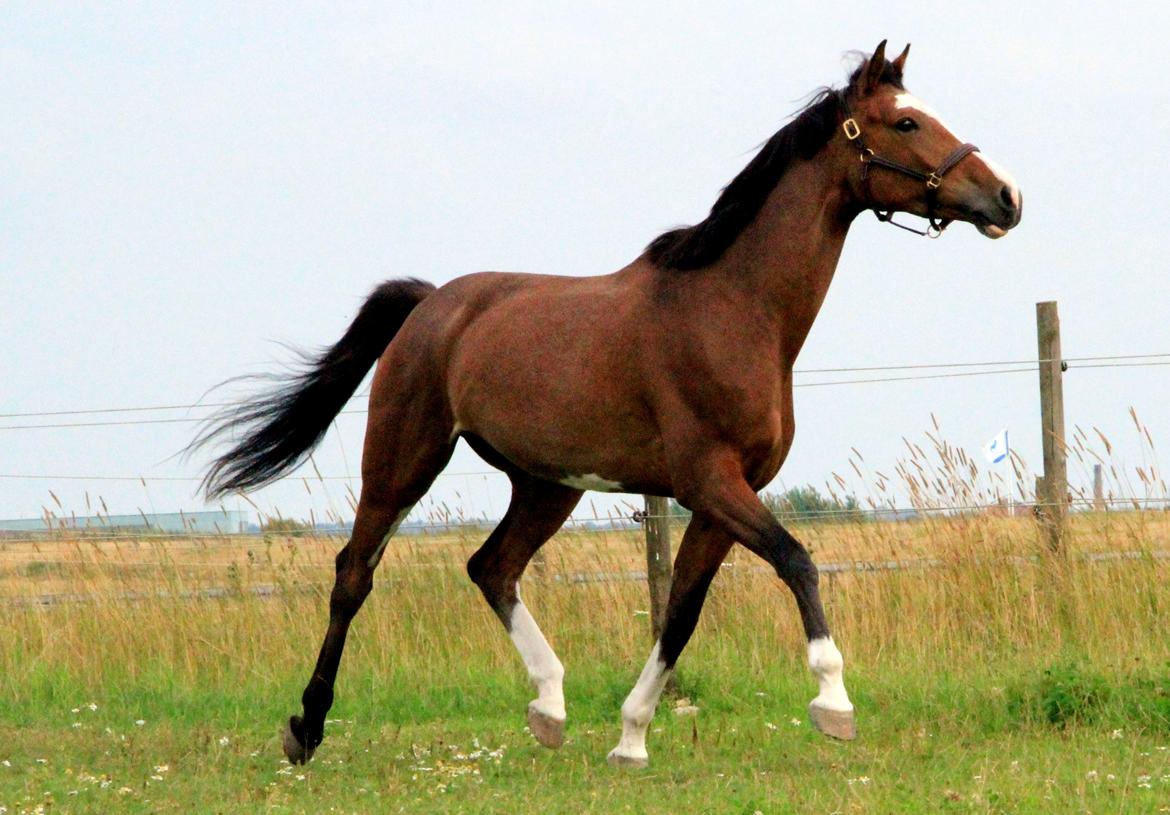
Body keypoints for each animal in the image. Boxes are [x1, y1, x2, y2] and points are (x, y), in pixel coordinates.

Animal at [201, 42, 1024, 767]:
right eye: (906, 122)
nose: (1007, 198)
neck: (734, 309)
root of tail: (432, 304)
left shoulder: (725, 498)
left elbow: (682, 613)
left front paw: (630, 738)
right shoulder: (710, 482)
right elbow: (798, 560)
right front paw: (834, 702)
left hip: (544, 485)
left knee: (491, 567)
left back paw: (550, 708)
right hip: (405, 458)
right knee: (355, 573)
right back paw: (306, 728)